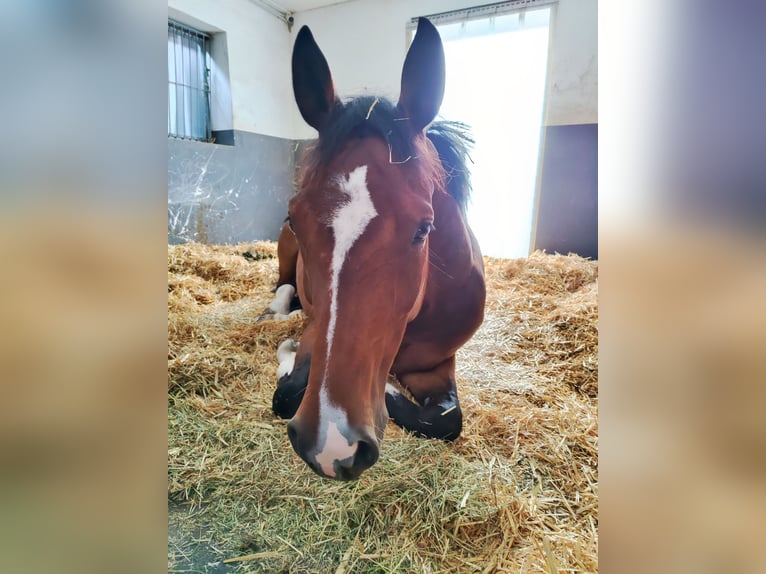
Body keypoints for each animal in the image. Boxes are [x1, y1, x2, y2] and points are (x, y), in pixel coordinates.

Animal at [268, 19, 486, 482]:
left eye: (424, 228)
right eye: (295, 217)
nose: (333, 444)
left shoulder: (437, 365)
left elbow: (447, 420)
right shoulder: (316, 333)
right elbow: (289, 390)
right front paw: (288, 357)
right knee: (282, 286)